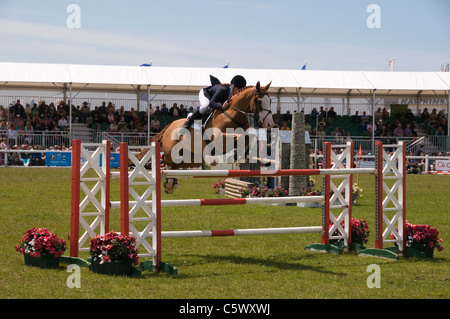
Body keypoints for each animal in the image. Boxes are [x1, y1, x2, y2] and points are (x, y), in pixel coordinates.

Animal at [137, 81, 272, 194]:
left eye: (270, 100)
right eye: (259, 101)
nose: (269, 124)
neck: (234, 115)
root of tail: (170, 126)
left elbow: (250, 136)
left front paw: (241, 154)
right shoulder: (219, 140)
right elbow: (240, 136)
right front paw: (236, 154)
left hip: (191, 158)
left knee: (175, 165)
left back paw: (171, 184)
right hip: (171, 151)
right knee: (165, 161)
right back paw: (169, 182)